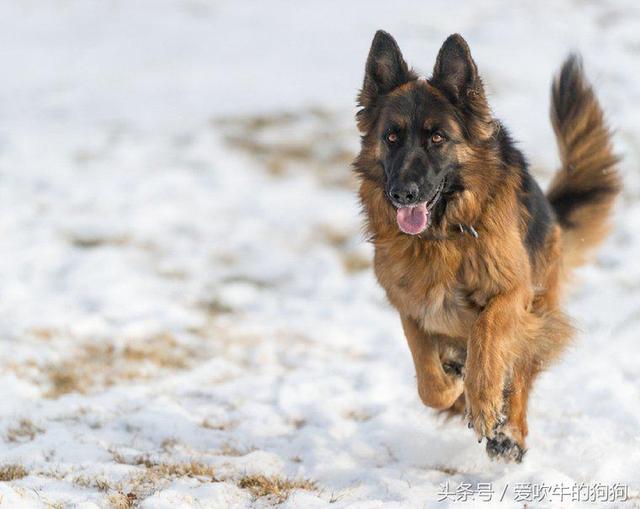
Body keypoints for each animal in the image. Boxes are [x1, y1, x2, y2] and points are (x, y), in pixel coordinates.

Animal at [356, 31, 620, 460]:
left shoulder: (513, 291)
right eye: (391, 137)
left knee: (521, 372)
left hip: (539, 308)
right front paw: (450, 384)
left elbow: (487, 332)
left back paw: (508, 432)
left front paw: (482, 402)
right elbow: (427, 377)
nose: (402, 194)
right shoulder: (410, 305)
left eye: (437, 137)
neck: (443, 236)